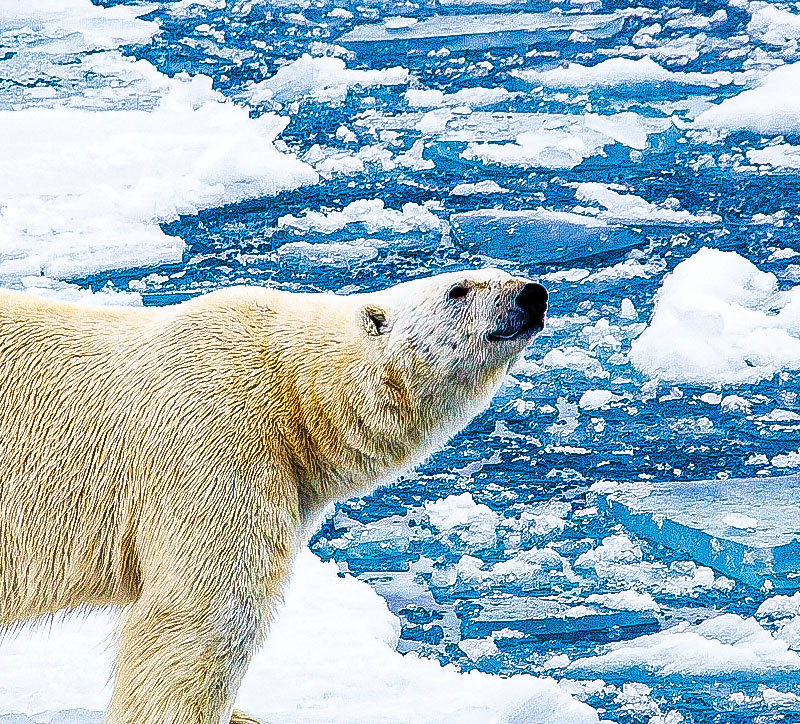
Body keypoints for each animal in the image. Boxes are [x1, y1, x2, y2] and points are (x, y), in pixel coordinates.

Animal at [0, 270, 544, 724]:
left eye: (501, 270)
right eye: (458, 289)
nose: (532, 294)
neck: (292, 387)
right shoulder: (217, 436)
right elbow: (207, 611)